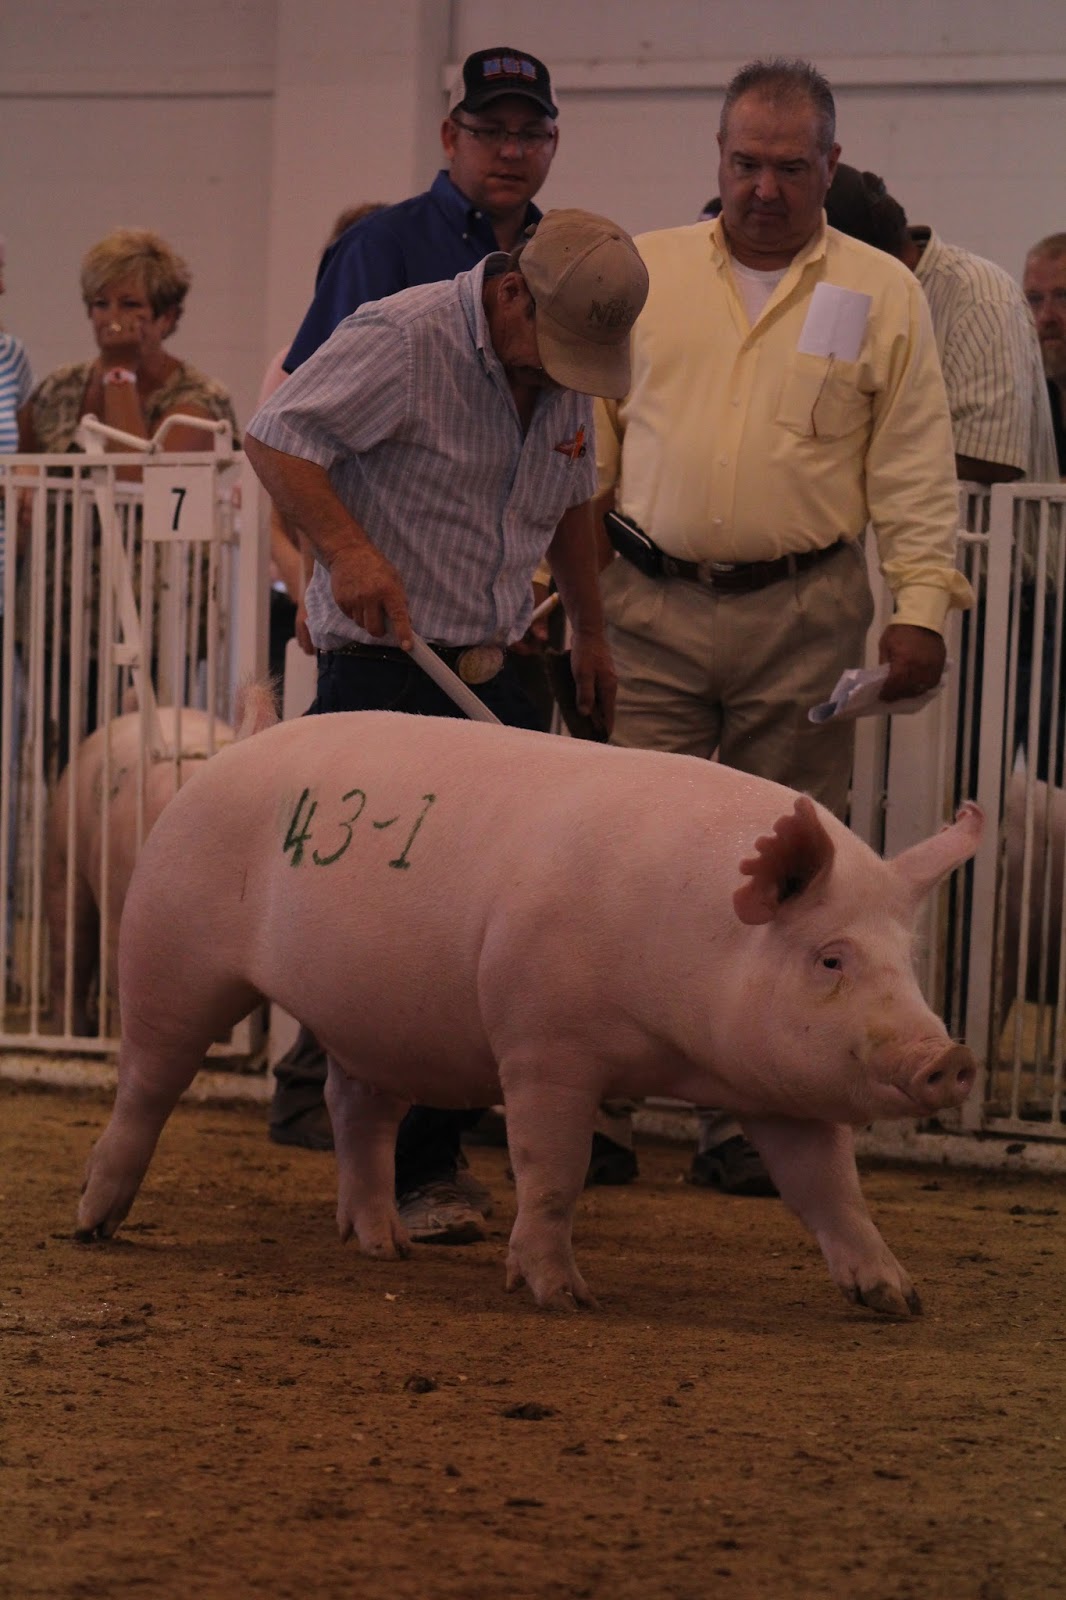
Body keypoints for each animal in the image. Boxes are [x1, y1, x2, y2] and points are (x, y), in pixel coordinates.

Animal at [75, 711, 981, 1317]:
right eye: (831, 958)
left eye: (908, 958)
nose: (948, 1057)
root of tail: (227, 752)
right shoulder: (545, 1041)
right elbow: (554, 1169)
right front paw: (563, 1297)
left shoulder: (778, 1089)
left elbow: (830, 1190)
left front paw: (898, 1299)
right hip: (169, 948)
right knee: (147, 1085)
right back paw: (94, 1225)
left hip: (379, 1021)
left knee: (356, 1108)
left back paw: (387, 1246)